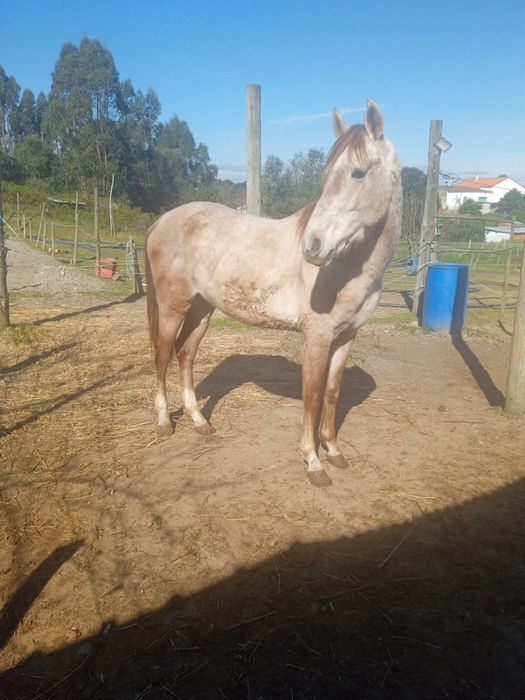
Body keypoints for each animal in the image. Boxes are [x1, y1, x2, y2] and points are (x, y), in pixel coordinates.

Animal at [145, 100, 402, 487]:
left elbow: (332, 391)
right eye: (328, 174)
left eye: (358, 173)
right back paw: (164, 422)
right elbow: (312, 394)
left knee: (185, 355)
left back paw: (200, 422)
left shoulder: (347, 336)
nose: (313, 246)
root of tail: (162, 221)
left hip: (202, 309)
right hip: (173, 306)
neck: (350, 266)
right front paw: (313, 461)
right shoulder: (317, 336)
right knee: (162, 356)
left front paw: (334, 450)